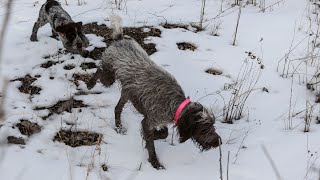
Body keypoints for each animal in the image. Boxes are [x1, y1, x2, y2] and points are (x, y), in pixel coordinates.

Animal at [87, 15, 222, 169]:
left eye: (212, 124)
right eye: (204, 128)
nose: (218, 142)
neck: (174, 102)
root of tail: (120, 39)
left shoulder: (159, 119)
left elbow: (164, 133)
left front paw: (156, 136)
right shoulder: (149, 120)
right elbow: (151, 143)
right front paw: (154, 161)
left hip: (126, 92)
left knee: (117, 108)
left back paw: (119, 127)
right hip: (109, 78)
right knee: (99, 71)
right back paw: (90, 83)